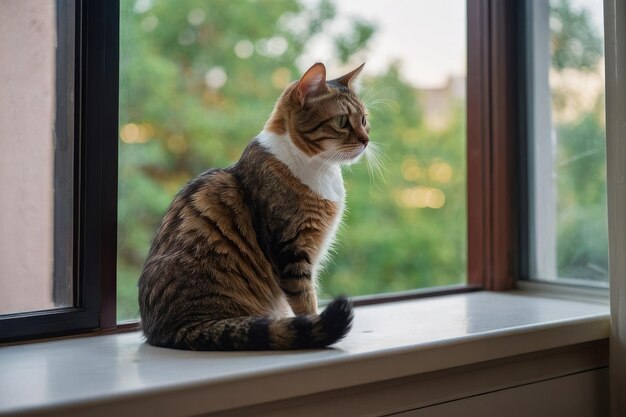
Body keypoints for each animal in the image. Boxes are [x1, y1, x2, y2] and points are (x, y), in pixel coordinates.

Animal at [139, 61, 368, 348]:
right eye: (341, 121)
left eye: (364, 120)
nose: (366, 140)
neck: (322, 170)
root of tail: (170, 329)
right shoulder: (291, 250)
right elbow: (305, 300)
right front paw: (312, 323)